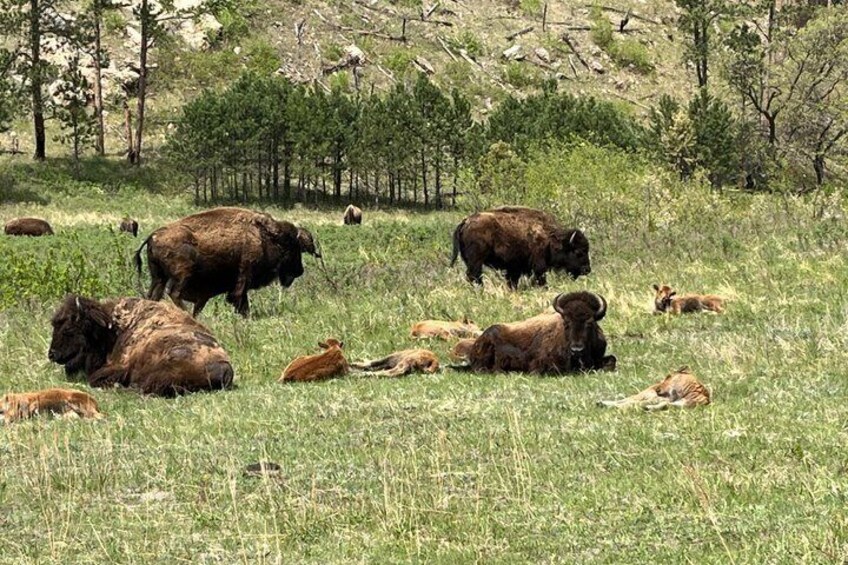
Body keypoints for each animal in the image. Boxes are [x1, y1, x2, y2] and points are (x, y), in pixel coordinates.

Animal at [48, 295, 234, 396]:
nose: (52, 354)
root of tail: (226, 369)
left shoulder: (120, 366)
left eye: (68, 329)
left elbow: (95, 378)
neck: (113, 330)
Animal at [134, 207, 320, 317]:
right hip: (182, 275)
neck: (263, 237)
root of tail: (153, 236)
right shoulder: (244, 276)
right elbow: (239, 299)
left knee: (154, 296)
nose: (299, 270)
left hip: (158, 277)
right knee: (174, 293)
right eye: (292, 247)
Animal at [450, 206, 591, 288]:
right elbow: (540, 278)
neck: (550, 237)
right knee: (474, 275)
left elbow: (513, 281)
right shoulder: (539, 265)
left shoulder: (514, 267)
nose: (587, 269)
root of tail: (466, 221)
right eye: (578, 251)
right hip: (476, 261)